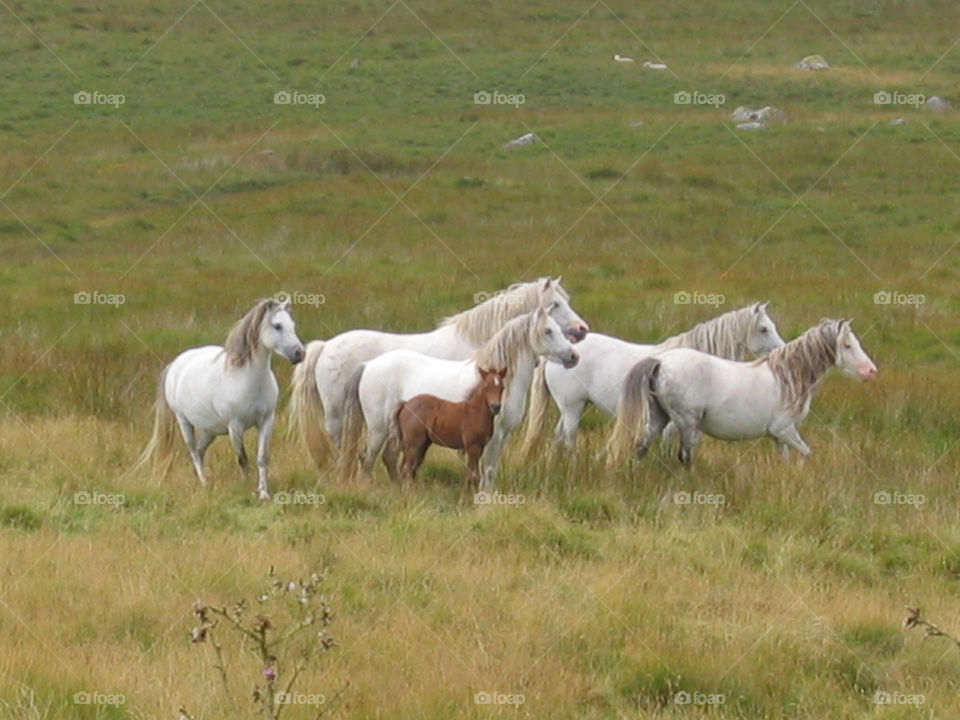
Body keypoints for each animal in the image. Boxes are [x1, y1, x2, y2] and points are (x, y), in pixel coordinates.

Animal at [133, 298, 305, 500]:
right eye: (277, 326)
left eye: (292, 325)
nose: (299, 353)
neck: (247, 378)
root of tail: (175, 364)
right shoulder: (235, 426)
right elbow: (242, 458)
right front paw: (247, 487)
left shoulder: (266, 420)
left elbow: (262, 458)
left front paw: (264, 493)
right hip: (184, 422)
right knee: (193, 451)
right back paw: (204, 483)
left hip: (210, 430)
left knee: (200, 451)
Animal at [340, 307, 579, 489]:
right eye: (548, 331)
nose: (573, 356)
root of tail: (368, 365)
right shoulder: (490, 438)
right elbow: (486, 470)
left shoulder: (501, 436)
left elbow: (491, 470)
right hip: (378, 428)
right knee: (367, 459)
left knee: (388, 457)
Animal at [519, 302, 784, 458]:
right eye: (763, 329)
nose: (781, 351)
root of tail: (561, 353)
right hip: (572, 407)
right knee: (569, 438)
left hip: (575, 406)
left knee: (558, 436)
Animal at [606, 318, 877, 466]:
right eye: (847, 345)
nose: (870, 371)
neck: (787, 375)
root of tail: (661, 362)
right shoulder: (785, 430)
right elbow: (807, 453)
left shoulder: (779, 437)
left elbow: (787, 460)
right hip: (688, 423)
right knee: (684, 457)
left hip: (659, 418)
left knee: (642, 446)